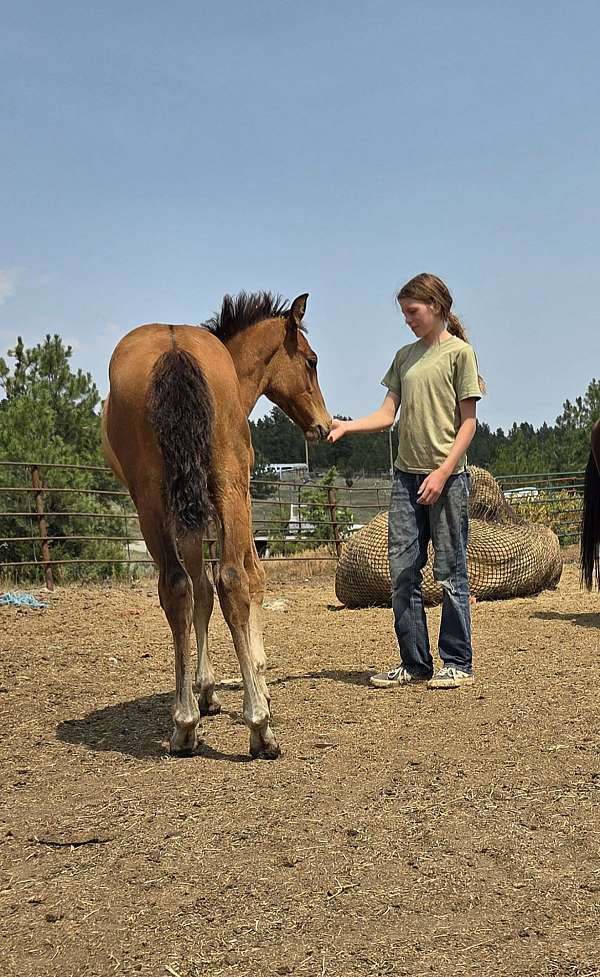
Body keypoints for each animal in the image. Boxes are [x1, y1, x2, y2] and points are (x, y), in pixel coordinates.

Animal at [102, 292, 331, 759]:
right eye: (312, 360)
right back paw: (256, 728)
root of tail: (174, 351)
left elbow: (202, 592)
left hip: (154, 498)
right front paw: (255, 681)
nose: (324, 424)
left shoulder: (195, 516)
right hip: (224, 484)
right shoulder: (236, 498)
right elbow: (248, 579)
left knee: (178, 587)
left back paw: (186, 724)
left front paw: (210, 689)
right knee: (228, 581)